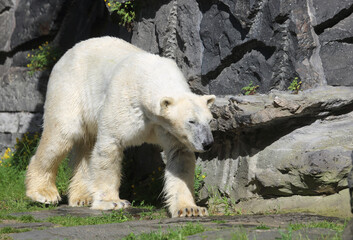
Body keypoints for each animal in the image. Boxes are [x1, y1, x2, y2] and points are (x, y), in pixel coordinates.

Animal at [24, 36, 214, 218]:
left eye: (210, 120)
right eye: (191, 121)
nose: (208, 143)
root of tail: (66, 54)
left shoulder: (168, 129)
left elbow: (180, 157)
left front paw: (190, 209)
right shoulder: (125, 104)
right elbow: (109, 147)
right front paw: (113, 202)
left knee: (86, 147)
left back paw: (82, 197)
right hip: (69, 89)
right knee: (62, 134)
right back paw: (44, 193)